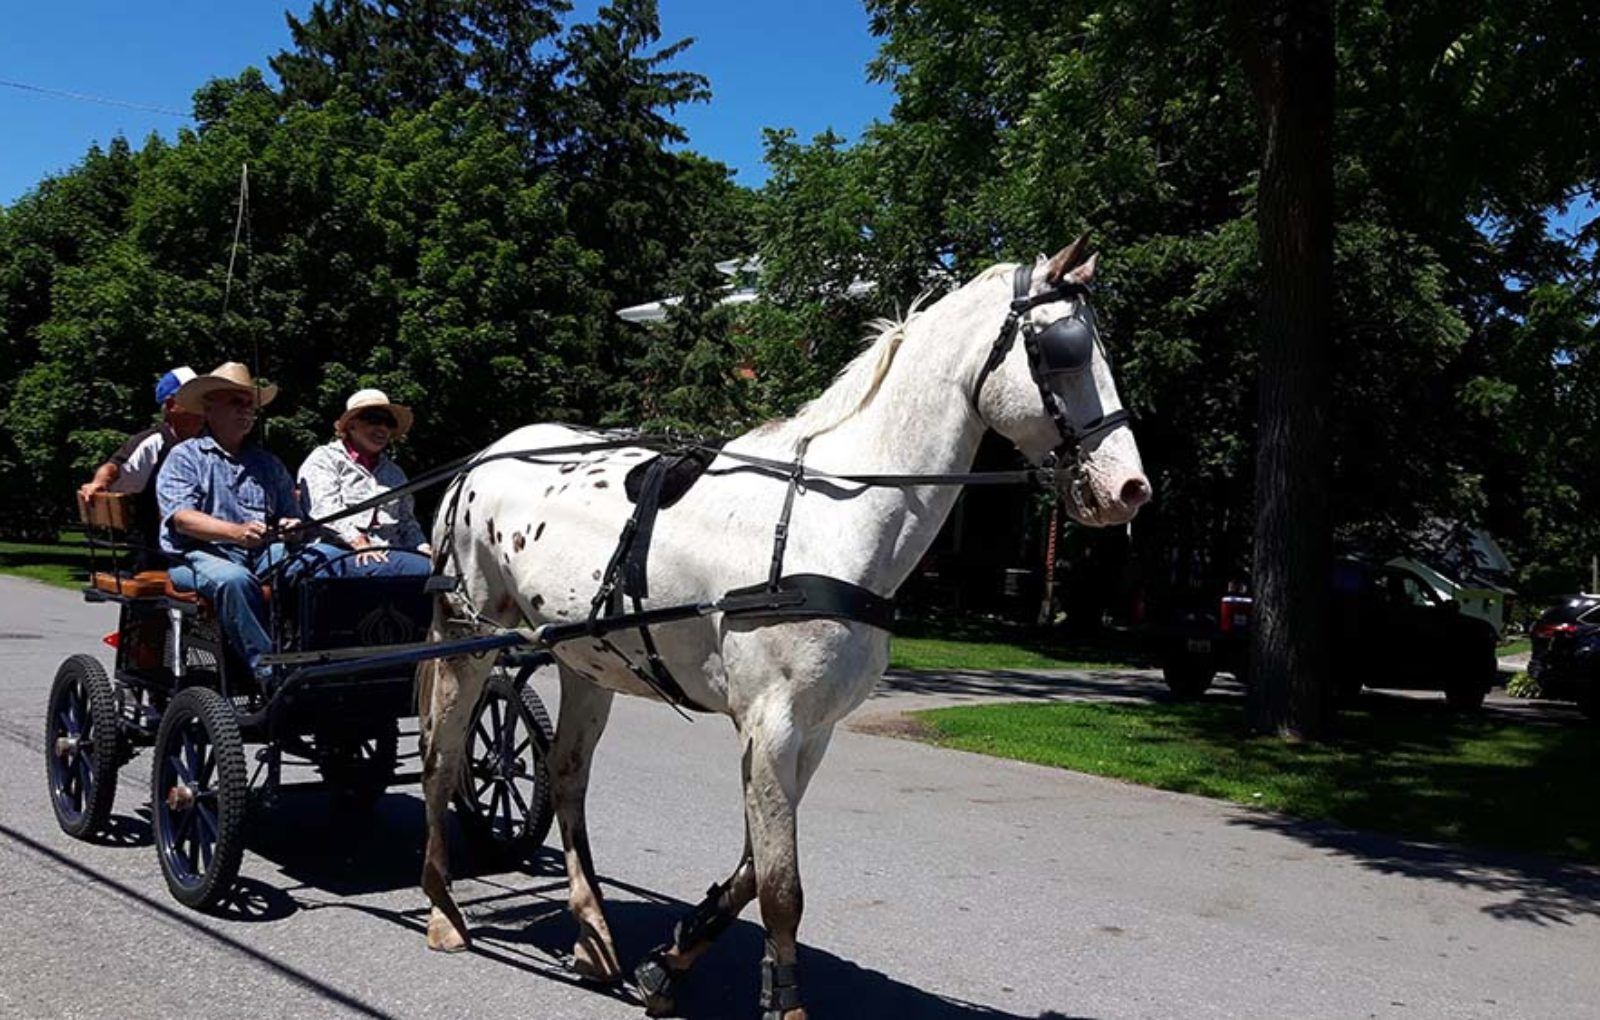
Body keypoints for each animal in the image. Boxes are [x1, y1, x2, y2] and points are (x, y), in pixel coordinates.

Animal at [414, 238, 1150, 1019]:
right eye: (1064, 351)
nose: (1130, 489)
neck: (833, 517)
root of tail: (481, 458)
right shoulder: (771, 722)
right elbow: (781, 889)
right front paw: (781, 1000)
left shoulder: (812, 730)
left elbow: (749, 872)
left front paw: (670, 962)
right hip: (467, 636)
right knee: (443, 756)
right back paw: (443, 910)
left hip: (589, 662)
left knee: (565, 775)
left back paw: (592, 933)